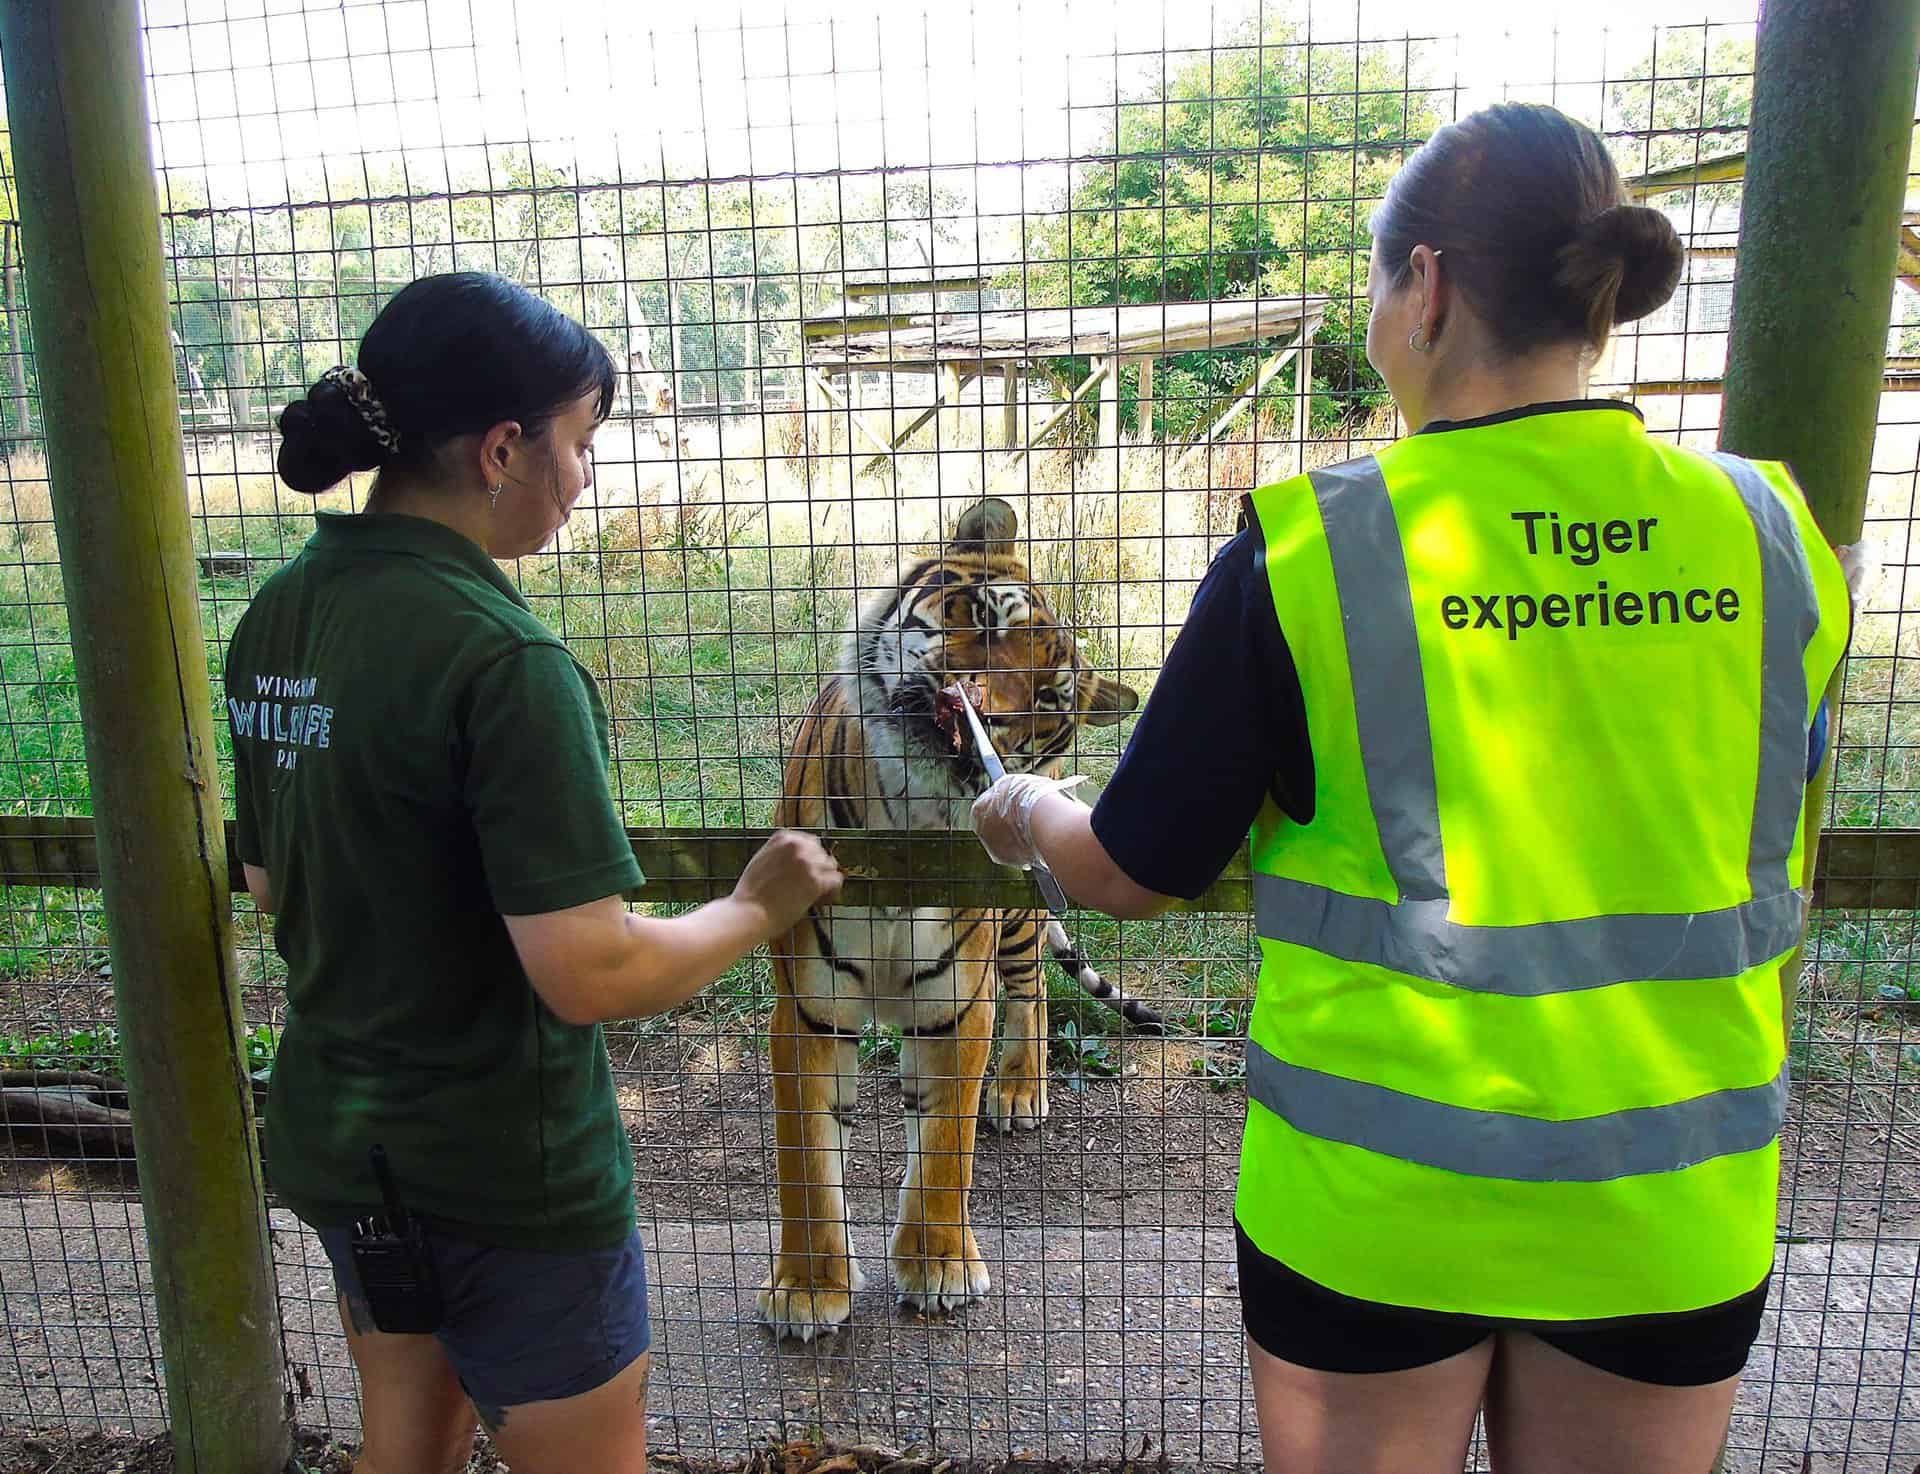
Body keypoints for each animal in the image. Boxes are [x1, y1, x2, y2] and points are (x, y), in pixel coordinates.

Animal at [757, 496, 1153, 1342]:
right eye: (986, 617)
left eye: (1047, 696)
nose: (980, 709)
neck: (906, 827)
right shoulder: (807, 1007)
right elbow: (807, 1157)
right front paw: (807, 1287)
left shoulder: (955, 1004)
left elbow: (945, 1143)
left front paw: (938, 1269)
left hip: (1017, 923)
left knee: (1031, 989)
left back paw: (1020, 1092)